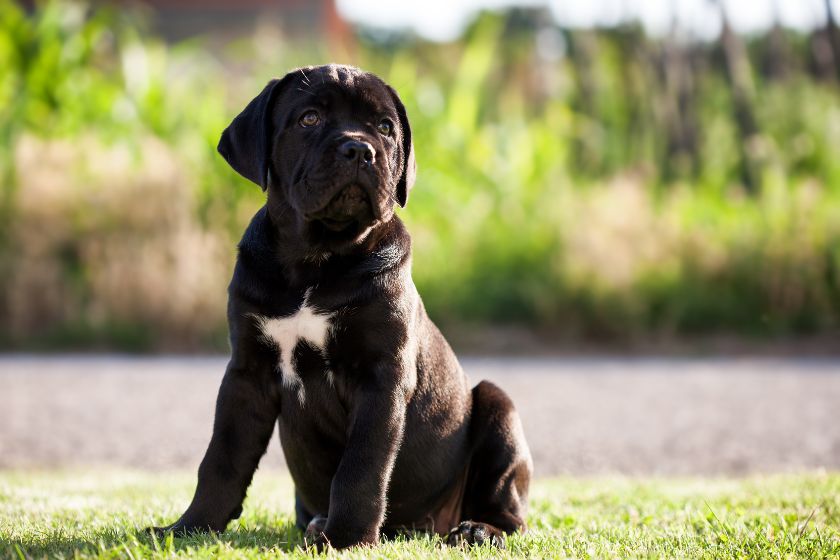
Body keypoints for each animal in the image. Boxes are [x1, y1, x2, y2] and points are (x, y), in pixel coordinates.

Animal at [152, 64, 532, 548]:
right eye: (309, 118)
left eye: (385, 128)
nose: (359, 149)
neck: (315, 260)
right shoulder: (247, 373)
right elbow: (222, 457)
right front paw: (190, 526)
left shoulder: (380, 377)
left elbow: (361, 467)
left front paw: (348, 537)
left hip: (499, 409)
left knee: (511, 513)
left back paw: (478, 528)